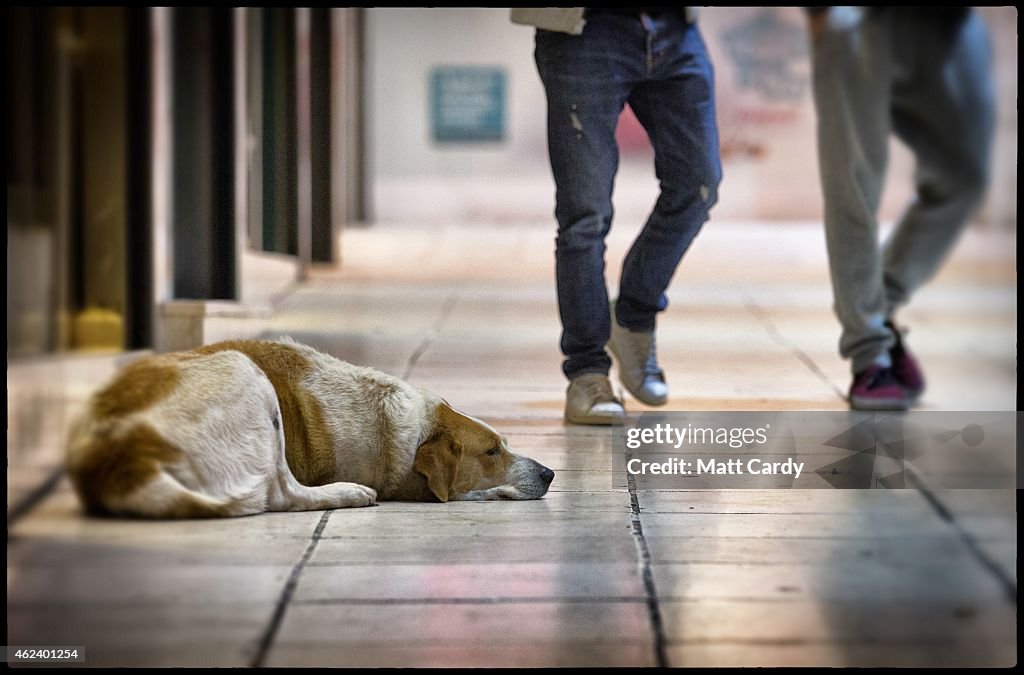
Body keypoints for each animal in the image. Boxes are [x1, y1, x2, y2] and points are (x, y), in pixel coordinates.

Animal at [67, 338, 557, 518]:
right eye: (492, 452)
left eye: (505, 444)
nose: (550, 472)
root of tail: (120, 455)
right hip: (244, 372)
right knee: (278, 493)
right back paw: (347, 493)